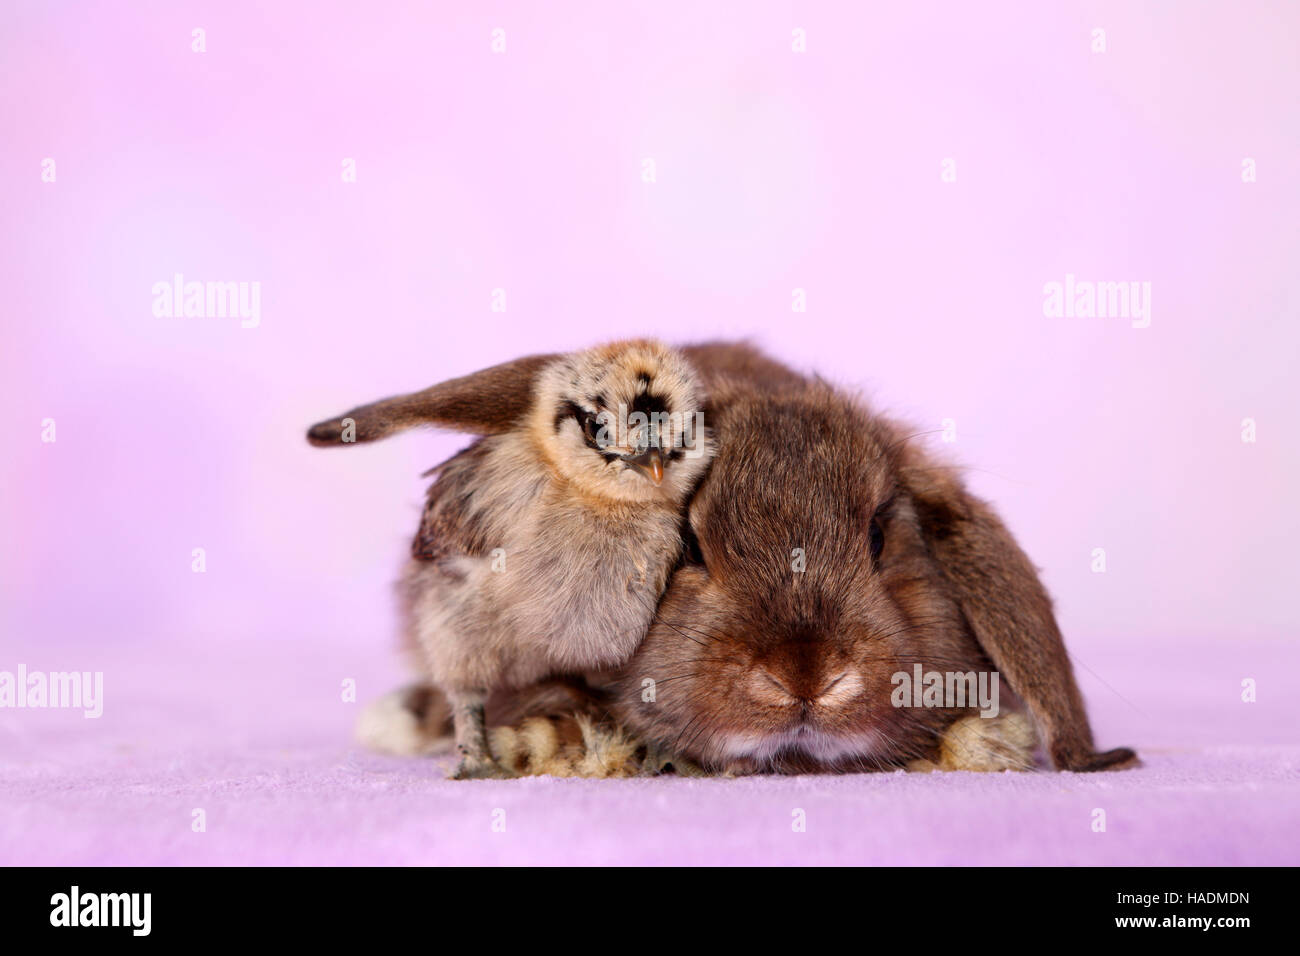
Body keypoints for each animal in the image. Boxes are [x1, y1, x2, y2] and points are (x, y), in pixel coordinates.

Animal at [306, 339, 713, 778]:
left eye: (685, 431)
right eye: (597, 427)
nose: (653, 463)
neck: (600, 499)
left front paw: (664, 751)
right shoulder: (455, 629)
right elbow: (467, 697)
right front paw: (479, 761)